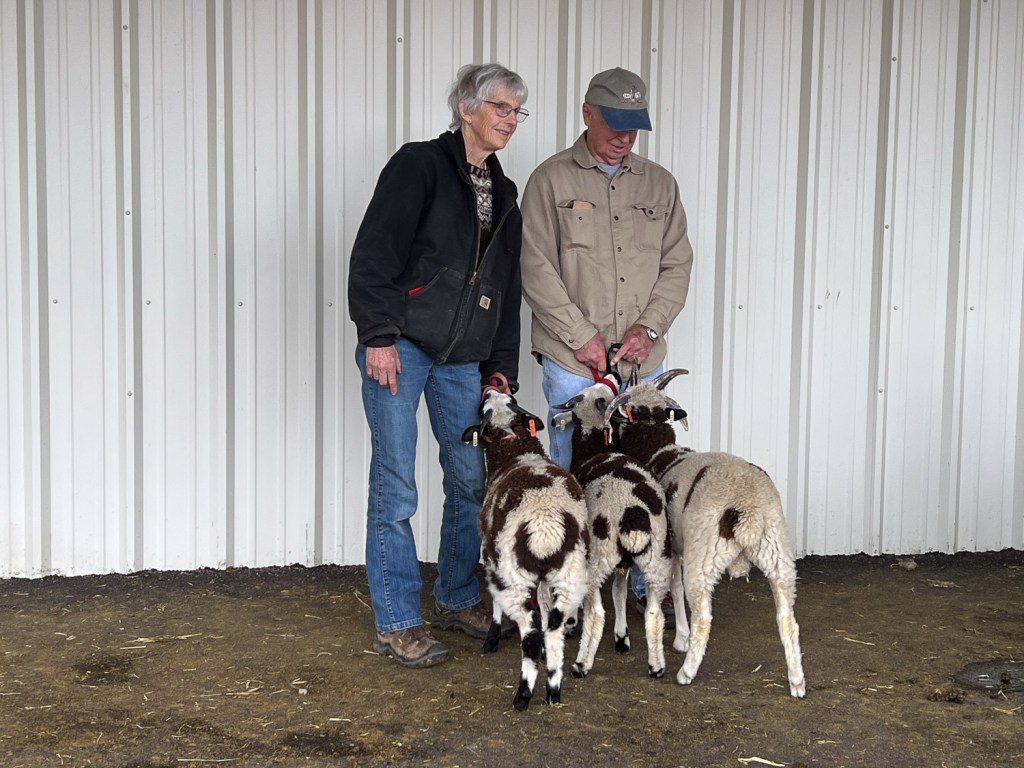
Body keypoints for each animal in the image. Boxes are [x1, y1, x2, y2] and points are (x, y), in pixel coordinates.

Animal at [462, 390, 589, 711]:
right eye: (510, 399)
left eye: (484, 407)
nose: (489, 389)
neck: (515, 448)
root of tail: (546, 526)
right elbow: (543, 607)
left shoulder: (491, 558)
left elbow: (497, 606)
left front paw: (492, 638)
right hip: (571, 576)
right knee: (555, 628)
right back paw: (553, 689)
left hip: (514, 578)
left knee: (528, 636)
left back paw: (523, 695)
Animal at [550, 372, 672, 679]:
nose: (615, 373)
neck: (590, 450)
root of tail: (633, 514)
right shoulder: (624, 563)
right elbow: (619, 592)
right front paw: (622, 637)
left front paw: (572, 623)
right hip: (656, 559)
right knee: (654, 614)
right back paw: (656, 666)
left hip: (598, 557)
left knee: (596, 614)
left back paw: (581, 665)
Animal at [608, 370, 806, 698]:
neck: (661, 454)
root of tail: (747, 507)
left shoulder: (672, 545)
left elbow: (675, 588)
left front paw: (681, 639)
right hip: (778, 551)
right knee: (787, 618)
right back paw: (797, 682)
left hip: (705, 556)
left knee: (703, 616)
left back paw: (686, 672)